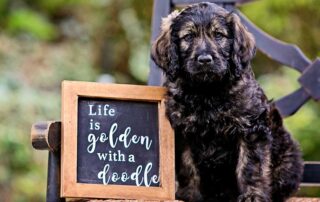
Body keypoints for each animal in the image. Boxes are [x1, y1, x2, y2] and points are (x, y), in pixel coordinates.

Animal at [151, 1, 304, 202]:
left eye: (218, 35)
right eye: (189, 36)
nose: (205, 59)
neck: (207, 92)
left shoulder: (251, 129)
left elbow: (251, 166)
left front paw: (253, 195)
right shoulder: (183, 132)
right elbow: (187, 166)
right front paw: (190, 194)